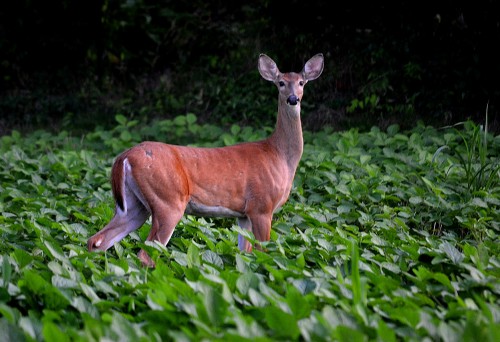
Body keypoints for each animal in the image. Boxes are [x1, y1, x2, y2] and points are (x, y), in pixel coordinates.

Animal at [87, 53, 324, 268]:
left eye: (302, 82)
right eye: (281, 82)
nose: (293, 99)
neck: (279, 156)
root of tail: (124, 157)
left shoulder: (244, 214)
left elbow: (244, 253)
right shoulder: (261, 206)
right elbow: (262, 252)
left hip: (134, 206)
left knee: (97, 241)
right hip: (168, 200)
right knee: (146, 254)